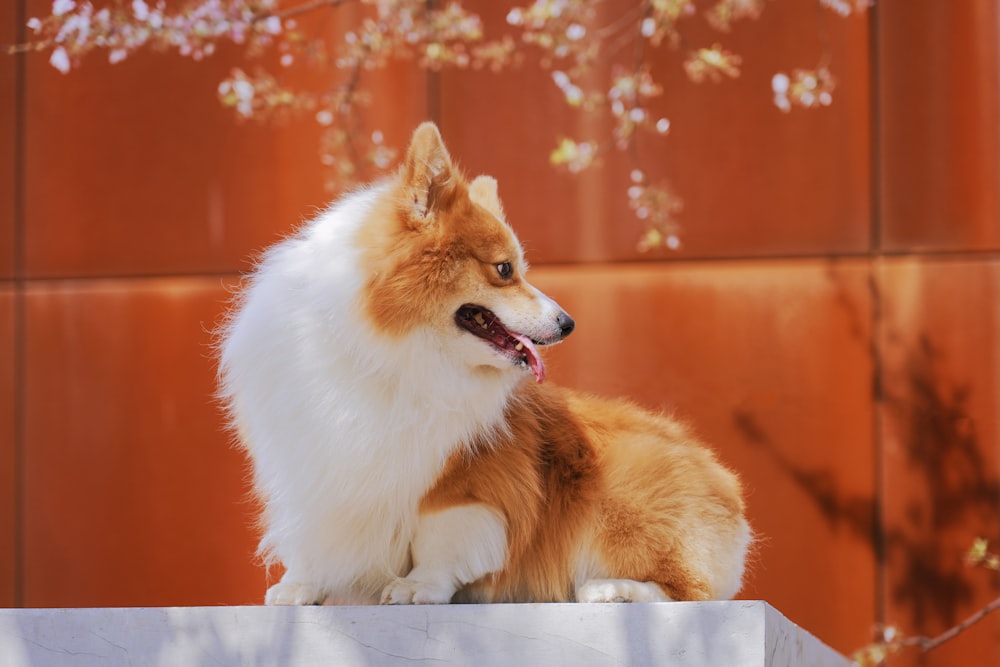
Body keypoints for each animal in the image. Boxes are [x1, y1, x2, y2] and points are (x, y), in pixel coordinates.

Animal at [219, 122, 752, 608]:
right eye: (504, 269)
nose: (568, 323)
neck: (386, 351)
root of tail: (729, 492)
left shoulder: (462, 480)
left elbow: (439, 539)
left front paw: (417, 588)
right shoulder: (309, 467)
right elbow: (310, 540)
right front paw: (298, 589)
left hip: (624, 491)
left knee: (688, 590)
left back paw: (612, 589)